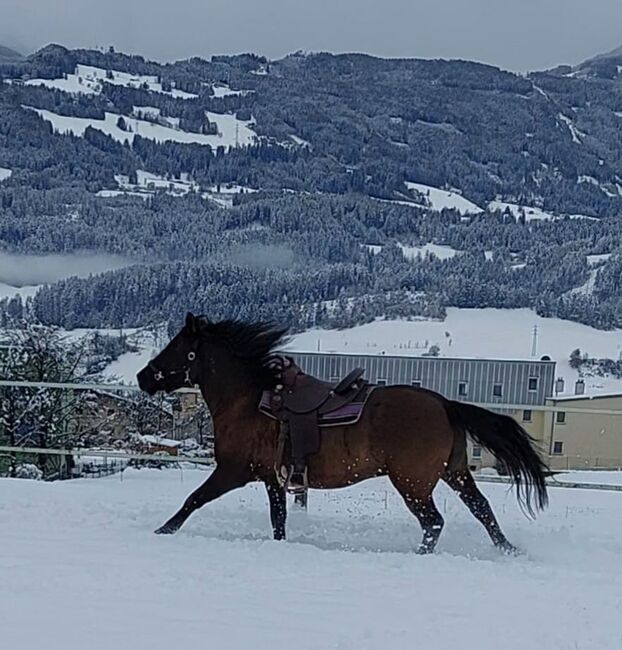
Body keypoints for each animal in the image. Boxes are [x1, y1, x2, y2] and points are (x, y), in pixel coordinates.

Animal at [139, 312, 548, 552]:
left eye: (176, 347)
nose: (143, 377)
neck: (250, 400)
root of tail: (445, 404)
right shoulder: (273, 479)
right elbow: (278, 520)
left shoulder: (233, 471)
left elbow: (193, 500)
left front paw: (163, 531)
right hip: (455, 472)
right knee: (482, 509)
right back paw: (507, 549)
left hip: (413, 483)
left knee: (434, 522)